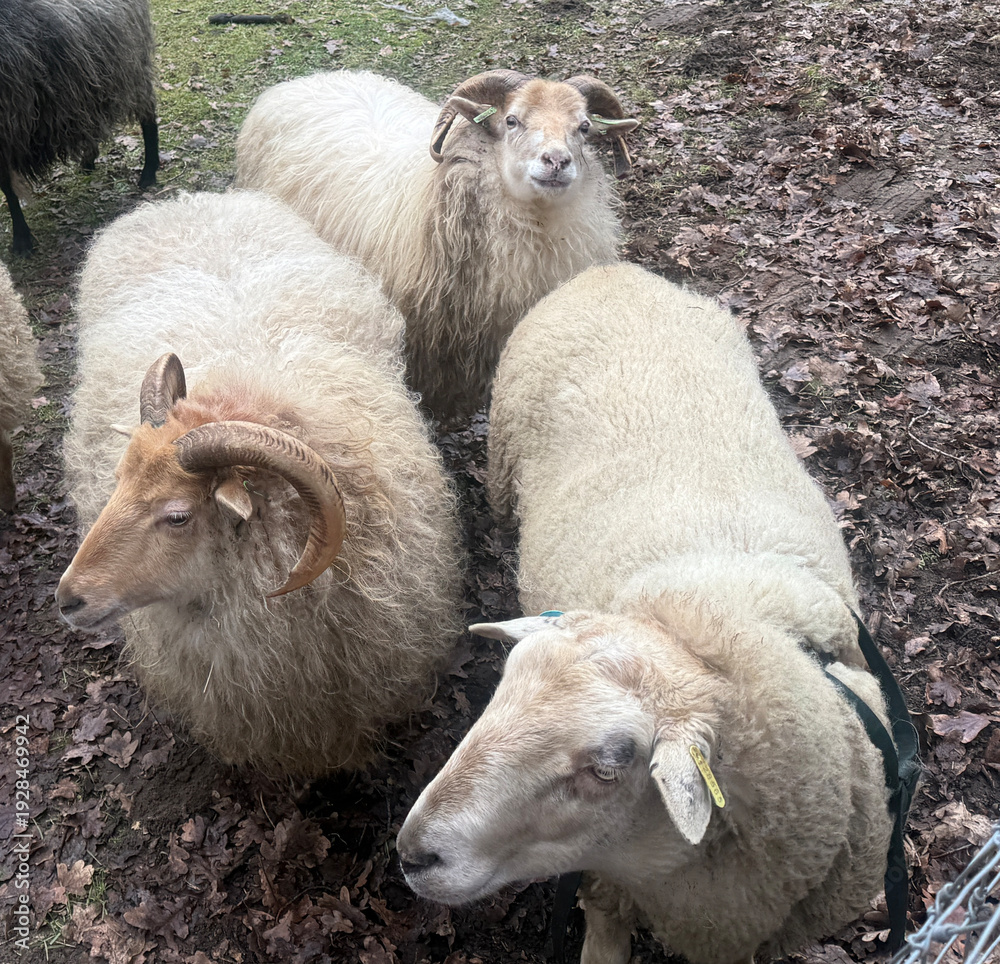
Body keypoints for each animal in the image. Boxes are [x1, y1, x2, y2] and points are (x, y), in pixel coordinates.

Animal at [0, 0, 159, 255]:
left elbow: (8, 188)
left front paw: (22, 240)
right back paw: (88, 161)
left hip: (129, 64)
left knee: (148, 116)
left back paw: (149, 172)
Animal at [396, 264, 908, 962]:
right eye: (501, 686)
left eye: (610, 765)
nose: (412, 853)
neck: (706, 623)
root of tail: (609, 271)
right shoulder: (608, 891)